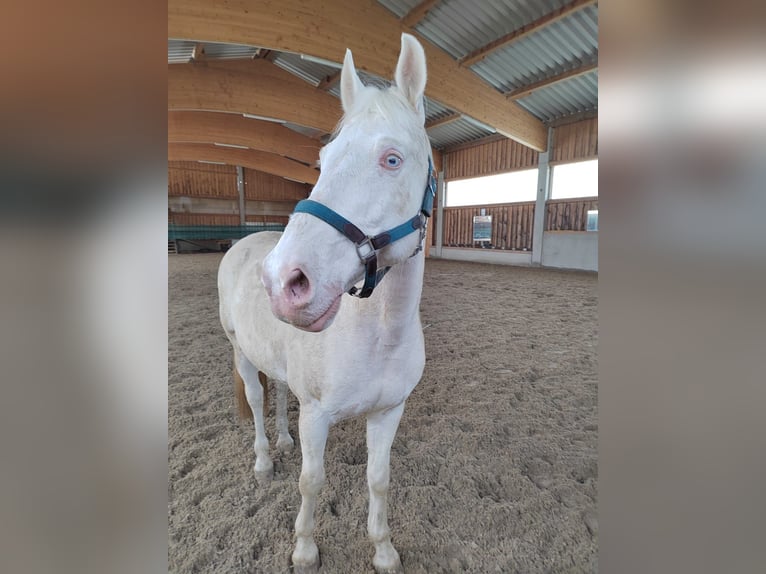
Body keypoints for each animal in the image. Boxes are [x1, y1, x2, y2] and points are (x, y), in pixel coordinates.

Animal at [219, 33, 436, 572]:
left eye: (392, 159)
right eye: (323, 160)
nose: (283, 280)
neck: (380, 334)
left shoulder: (389, 412)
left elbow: (379, 480)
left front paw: (383, 550)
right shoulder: (316, 415)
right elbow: (311, 481)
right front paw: (304, 548)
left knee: (277, 394)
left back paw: (281, 439)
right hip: (240, 351)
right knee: (256, 398)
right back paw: (264, 460)